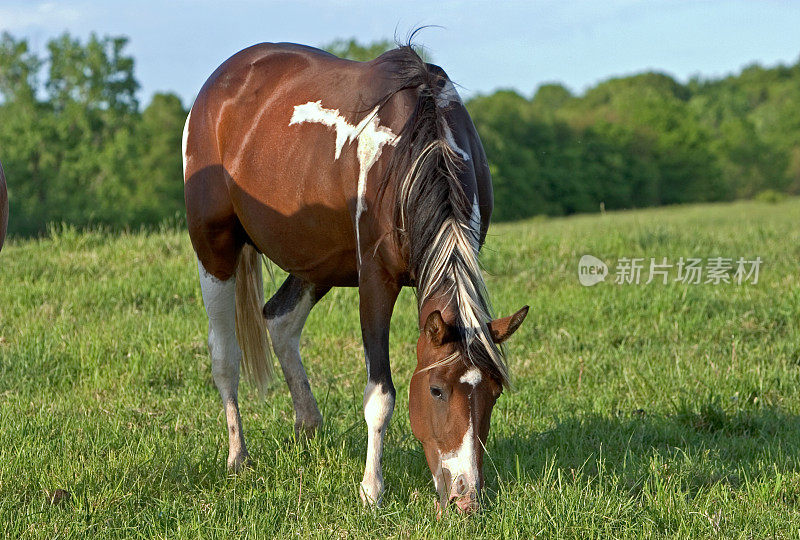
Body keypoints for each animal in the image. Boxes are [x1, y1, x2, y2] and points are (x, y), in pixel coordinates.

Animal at [184, 40, 528, 512]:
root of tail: (218, 84)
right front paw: (371, 490)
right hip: (214, 249)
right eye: (436, 390)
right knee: (225, 357)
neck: (418, 151)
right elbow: (380, 396)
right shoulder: (376, 282)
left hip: (317, 262)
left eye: (493, 391)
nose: (465, 498)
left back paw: (308, 427)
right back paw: (238, 457)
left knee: (280, 320)